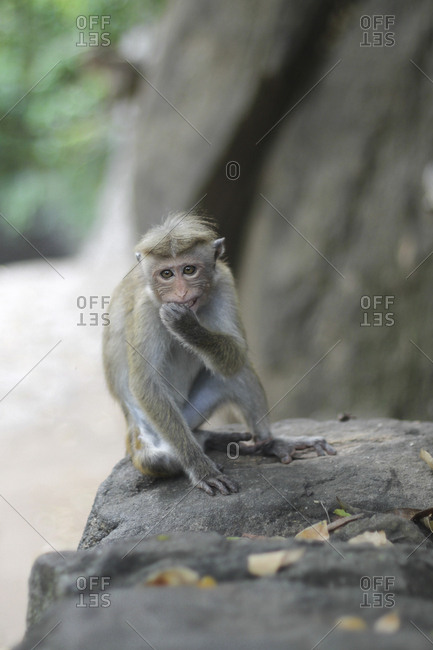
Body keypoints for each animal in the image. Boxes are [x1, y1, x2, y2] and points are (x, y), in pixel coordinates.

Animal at [103, 213, 336, 496]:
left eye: (189, 270)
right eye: (166, 274)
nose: (181, 293)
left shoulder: (223, 281)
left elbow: (237, 354)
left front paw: (189, 328)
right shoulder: (147, 307)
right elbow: (145, 382)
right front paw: (202, 469)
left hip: (191, 414)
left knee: (239, 372)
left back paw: (265, 443)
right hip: (149, 431)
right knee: (157, 459)